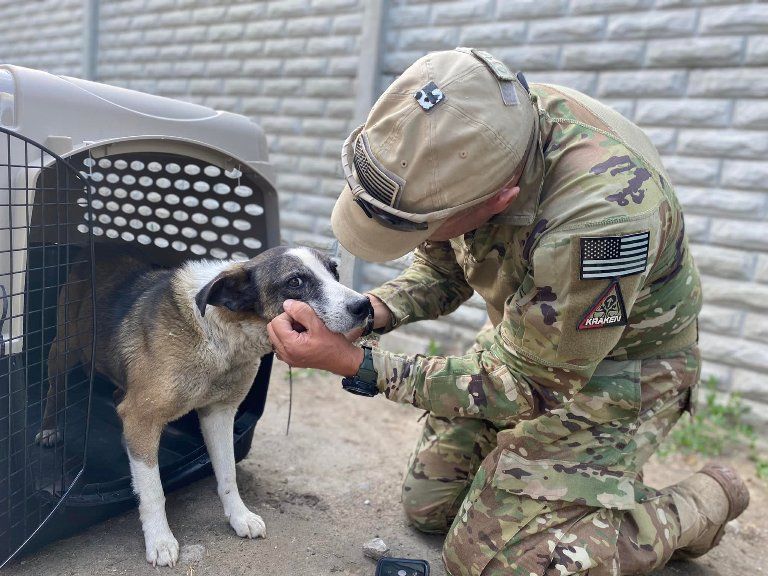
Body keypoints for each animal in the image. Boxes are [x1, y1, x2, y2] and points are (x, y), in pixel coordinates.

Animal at [36, 244, 372, 568]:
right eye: (295, 282)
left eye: (334, 271)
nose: (364, 306)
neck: (220, 334)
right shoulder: (142, 415)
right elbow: (154, 491)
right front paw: (160, 540)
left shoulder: (219, 414)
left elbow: (227, 474)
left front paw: (239, 517)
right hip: (62, 351)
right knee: (54, 390)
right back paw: (50, 430)